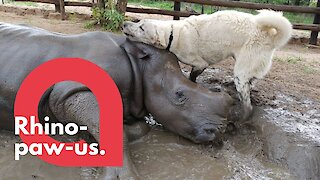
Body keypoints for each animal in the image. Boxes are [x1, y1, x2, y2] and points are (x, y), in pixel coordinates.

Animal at [123, 9, 292, 119]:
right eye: (139, 21)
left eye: (141, 28)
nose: (124, 24)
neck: (172, 34)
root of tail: (270, 37)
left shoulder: (200, 64)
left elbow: (192, 77)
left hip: (240, 72)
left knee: (248, 106)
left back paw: (240, 117)